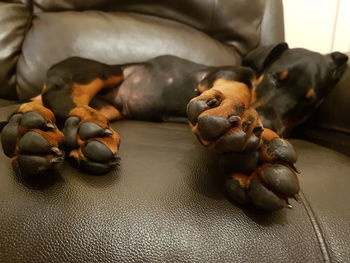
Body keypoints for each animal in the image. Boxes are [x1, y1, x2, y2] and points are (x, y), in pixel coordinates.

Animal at [0, 43, 348, 211]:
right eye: (276, 78)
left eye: (308, 103)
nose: (272, 124)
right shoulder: (225, 77)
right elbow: (239, 95)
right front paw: (232, 115)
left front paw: (259, 159)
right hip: (103, 71)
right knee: (62, 96)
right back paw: (84, 125)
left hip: (110, 102)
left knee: (37, 103)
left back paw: (29, 129)